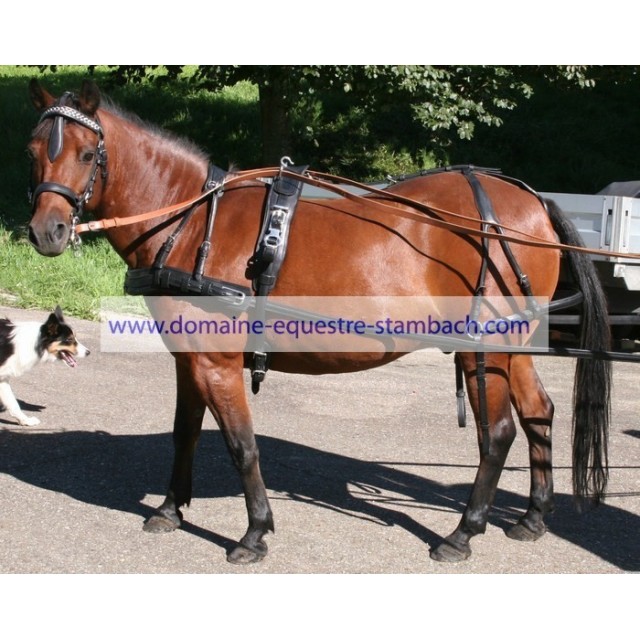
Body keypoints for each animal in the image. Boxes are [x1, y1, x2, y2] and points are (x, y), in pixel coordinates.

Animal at [25, 79, 611, 565]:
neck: (193, 220)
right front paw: (170, 509)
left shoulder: (217, 361)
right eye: (33, 151)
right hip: (514, 345)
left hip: (483, 348)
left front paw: (255, 533)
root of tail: (532, 201)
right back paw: (532, 517)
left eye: (86, 153)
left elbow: (241, 444)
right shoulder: (189, 358)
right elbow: (184, 431)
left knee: (499, 434)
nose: (46, 232)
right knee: (538, 413)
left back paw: (462, 532)